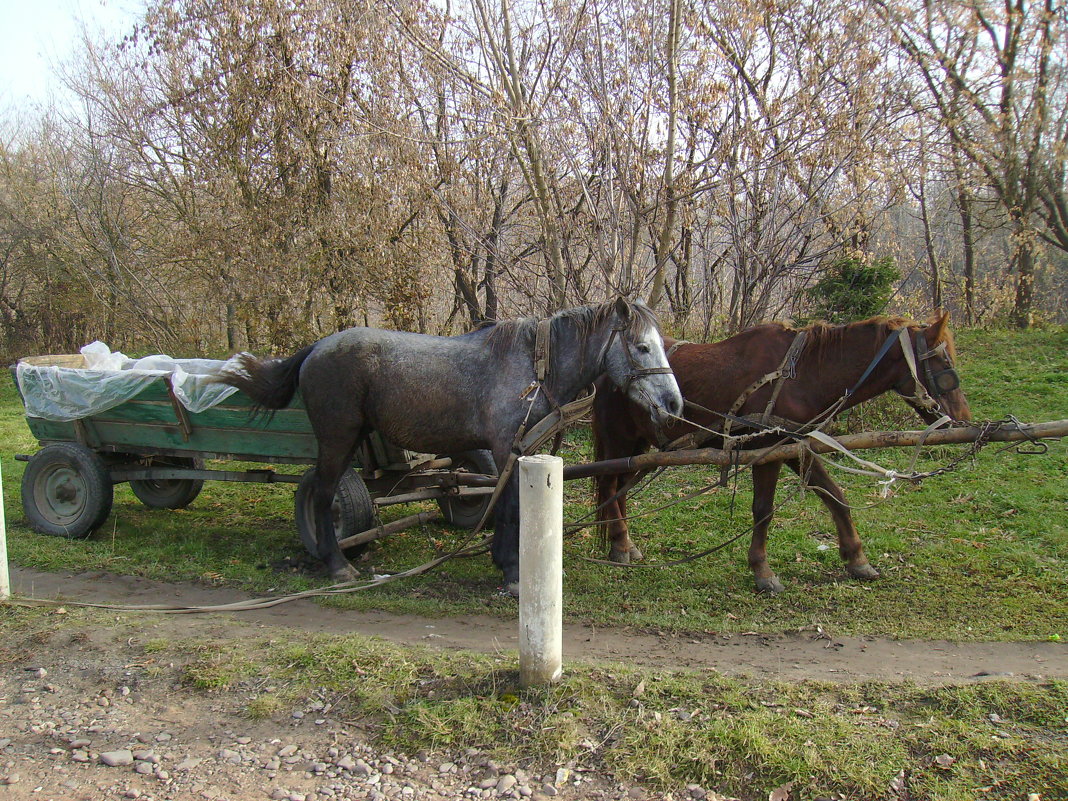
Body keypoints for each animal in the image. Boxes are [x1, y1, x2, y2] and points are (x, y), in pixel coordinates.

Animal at [218, 299, 683, 593]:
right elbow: (510, 505)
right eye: (642, 346)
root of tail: (318, 347)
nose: (674, 404)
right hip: (338, 439)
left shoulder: (516, 451)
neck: (532, 367)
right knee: (323, 495)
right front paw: (512, 572)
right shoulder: (506, 447)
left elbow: (505, 500)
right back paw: (338, 566)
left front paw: (505, 562)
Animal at [598, 313, 974, 598]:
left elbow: (834, 495)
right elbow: (763, 510)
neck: (804, 375)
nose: (963, 420)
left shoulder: (797, 446)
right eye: (943, 362)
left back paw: (625, 543)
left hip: (639, 443)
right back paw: (619, 544)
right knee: (608, 484)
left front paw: (857, 558)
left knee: (620, 488)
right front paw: (763, 572)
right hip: (619, 438)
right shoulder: (767, 451)